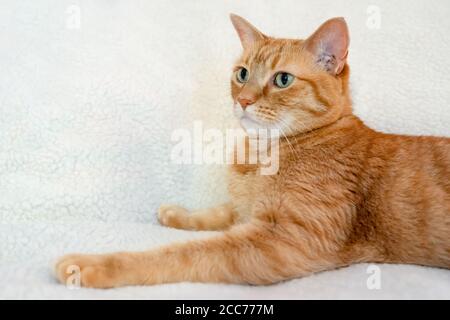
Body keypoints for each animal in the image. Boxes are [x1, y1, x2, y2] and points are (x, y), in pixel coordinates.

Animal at [54, 13, 448, 288]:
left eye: (283, 79)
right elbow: (218, 213)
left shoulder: (284, 243)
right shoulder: (249, 214)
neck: (260, 153)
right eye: (242, 74)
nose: (243, 100)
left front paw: (92, 266)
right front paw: (179, 214)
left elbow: (184, 254)